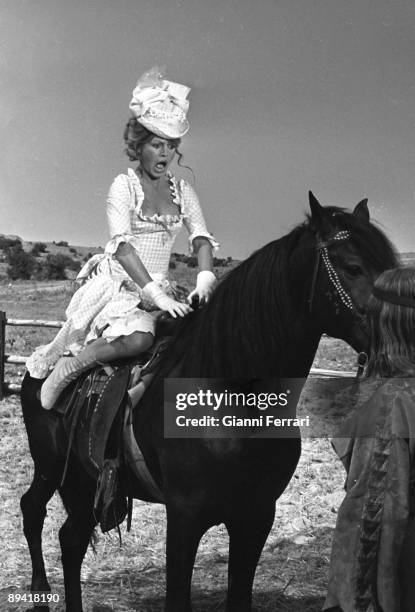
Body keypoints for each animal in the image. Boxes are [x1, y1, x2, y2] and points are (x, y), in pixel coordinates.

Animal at [20, 192, 400, 612]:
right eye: (353, 267)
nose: (397, 340)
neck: (230, 397)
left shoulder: (257, 514)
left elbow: (239, 594)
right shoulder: (185, 516)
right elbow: (177, 596)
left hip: (83, 482)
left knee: (70, 540)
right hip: (51, 468)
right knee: (33, 511)